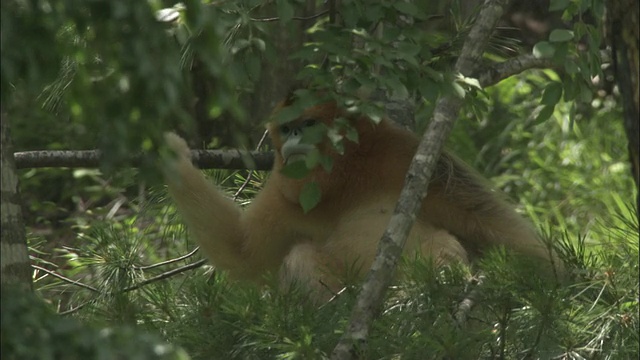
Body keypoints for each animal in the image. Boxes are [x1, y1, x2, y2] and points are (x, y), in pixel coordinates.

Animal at [165, 95, 560, 298]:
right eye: (287, 128)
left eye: (307, 124)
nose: (293, 139)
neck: (347, 179)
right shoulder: (285, 191)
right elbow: (242, 252)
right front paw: (171, 157)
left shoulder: (404, 153)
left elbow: (498, 228)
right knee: (301, 256)